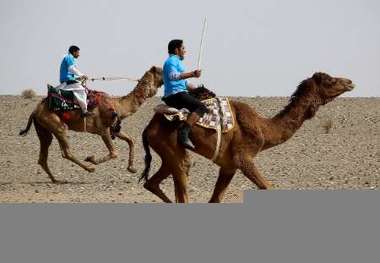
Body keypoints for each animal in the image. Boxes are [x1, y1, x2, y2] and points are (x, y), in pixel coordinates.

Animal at [19, 66, 163, 184]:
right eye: (161, 71)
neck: (118, 105)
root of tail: (35, 111)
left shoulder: (114, 129)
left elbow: (131, 140)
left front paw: (132, 168)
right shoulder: (103, 129)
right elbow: (114, 153)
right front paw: (91, 159)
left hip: (44, 129)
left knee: (44, 155)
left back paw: (56, 179)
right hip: (56, 124)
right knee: (66, 151)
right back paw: (89, 168)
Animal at [141, 72, 354, 204]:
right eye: (330, 80)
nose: (350, 82)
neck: (264, 128)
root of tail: (148, 127)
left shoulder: (229, 166)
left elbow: (215, 199)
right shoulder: (244, 158)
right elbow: (268, 187)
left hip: (167, 151)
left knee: (152, 182)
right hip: (170, 144)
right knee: (182, 175)